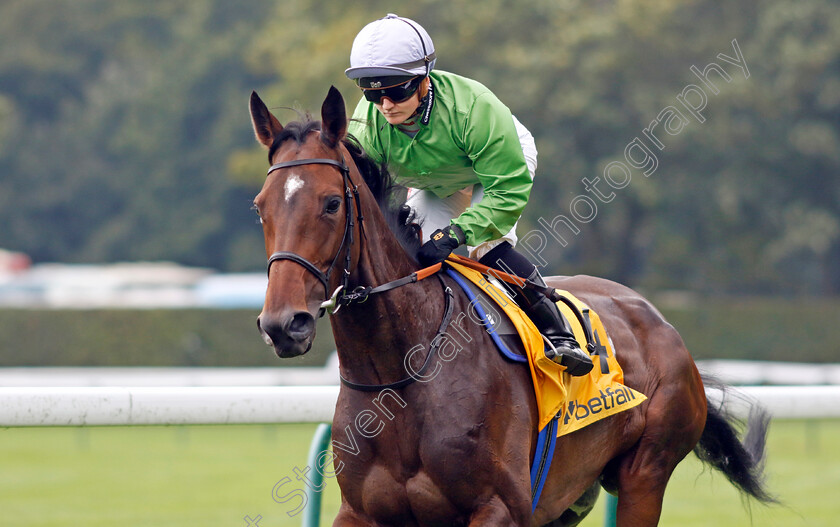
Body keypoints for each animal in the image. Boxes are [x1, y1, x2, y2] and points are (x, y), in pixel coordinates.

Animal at [249, 87, 776, 527]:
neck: (401, 373)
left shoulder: (499, 507)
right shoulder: (361, 512)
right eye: (259, 206)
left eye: (332, 203)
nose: (284, 324)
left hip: (645, 474)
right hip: (569, 497)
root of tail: (662, 324)